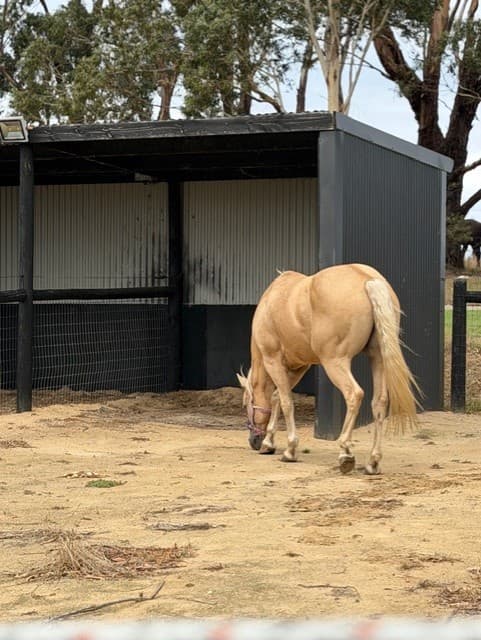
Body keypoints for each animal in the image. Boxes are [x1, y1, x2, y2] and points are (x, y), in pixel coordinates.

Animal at [237, 263, 420, 475]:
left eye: (247, 404)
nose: (254, 441)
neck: (271, 302)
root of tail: (368, 280)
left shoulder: (273, 360)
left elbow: (285, 401)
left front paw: (289, 450)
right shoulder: (300, 365)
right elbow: (276, 397)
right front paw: (269, 443)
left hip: (335, 362)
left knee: (354, 394)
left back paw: (345, 453)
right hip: (378, 358)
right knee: (379, 402)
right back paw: (373, 462)